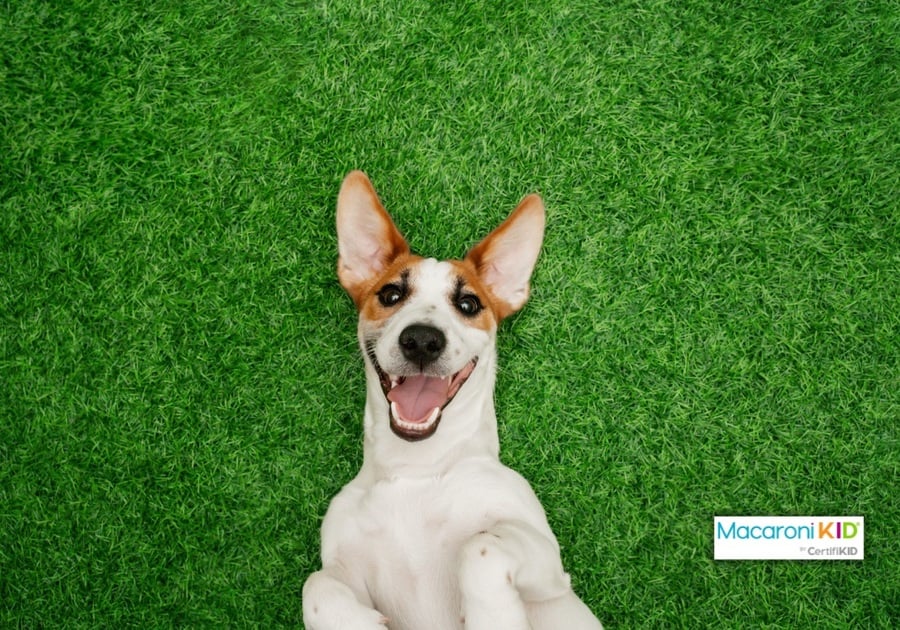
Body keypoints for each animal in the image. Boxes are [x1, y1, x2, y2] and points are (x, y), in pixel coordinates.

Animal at [302, 173, 604, 630]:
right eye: (391, 295)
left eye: (468, 303)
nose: (422, 340)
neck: (415, 470)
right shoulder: (343, 565)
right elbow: (316, 586)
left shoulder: (549, 569)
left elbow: (481, 547)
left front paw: (495, 615)